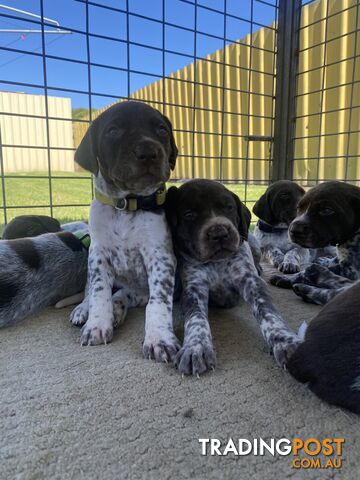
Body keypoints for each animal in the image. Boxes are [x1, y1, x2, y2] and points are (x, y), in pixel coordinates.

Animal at [69, 102, 180, 364]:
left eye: (161, 129)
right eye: (113, 131)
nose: (148, 151)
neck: (126, 204)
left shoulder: (161, 258)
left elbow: (159, 302)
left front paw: (159, 339)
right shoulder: (98, 255)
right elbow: (98, 291)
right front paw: (96, 324)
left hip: (140, 289)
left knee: (126, 294)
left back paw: (118, 308)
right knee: (91, 289)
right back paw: (84, 309)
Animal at [166, 179, 300, 376]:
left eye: (229, 208)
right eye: (189, 214)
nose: (219, 233)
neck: (217, 263)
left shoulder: (251, 282)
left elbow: (269, 313)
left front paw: (285, 340)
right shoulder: (193, 289)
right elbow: (196, 318)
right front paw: (195, 346)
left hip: (254, 243)